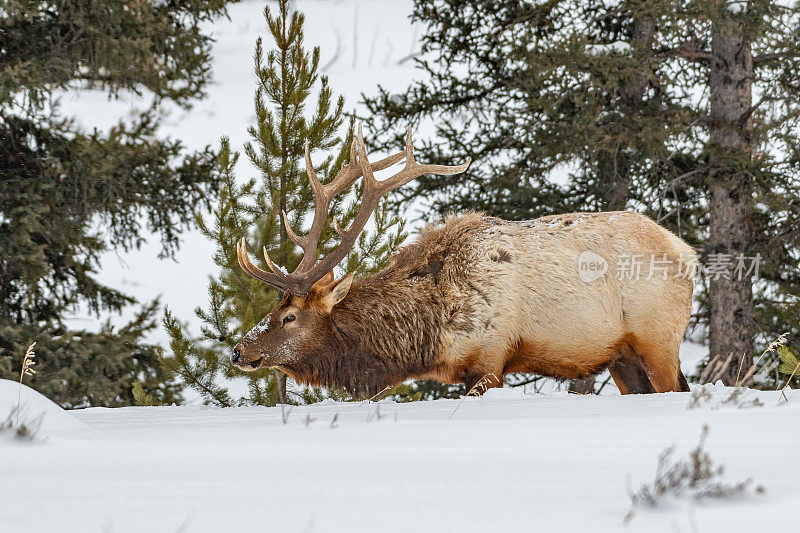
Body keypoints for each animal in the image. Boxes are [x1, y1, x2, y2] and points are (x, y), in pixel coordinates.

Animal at [230, 124, 692, 394]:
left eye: (290, 316)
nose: (237, 350)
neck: (430, 329)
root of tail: (687, 252)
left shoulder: (490, 358)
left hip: (659, 338)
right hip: (623, 357)